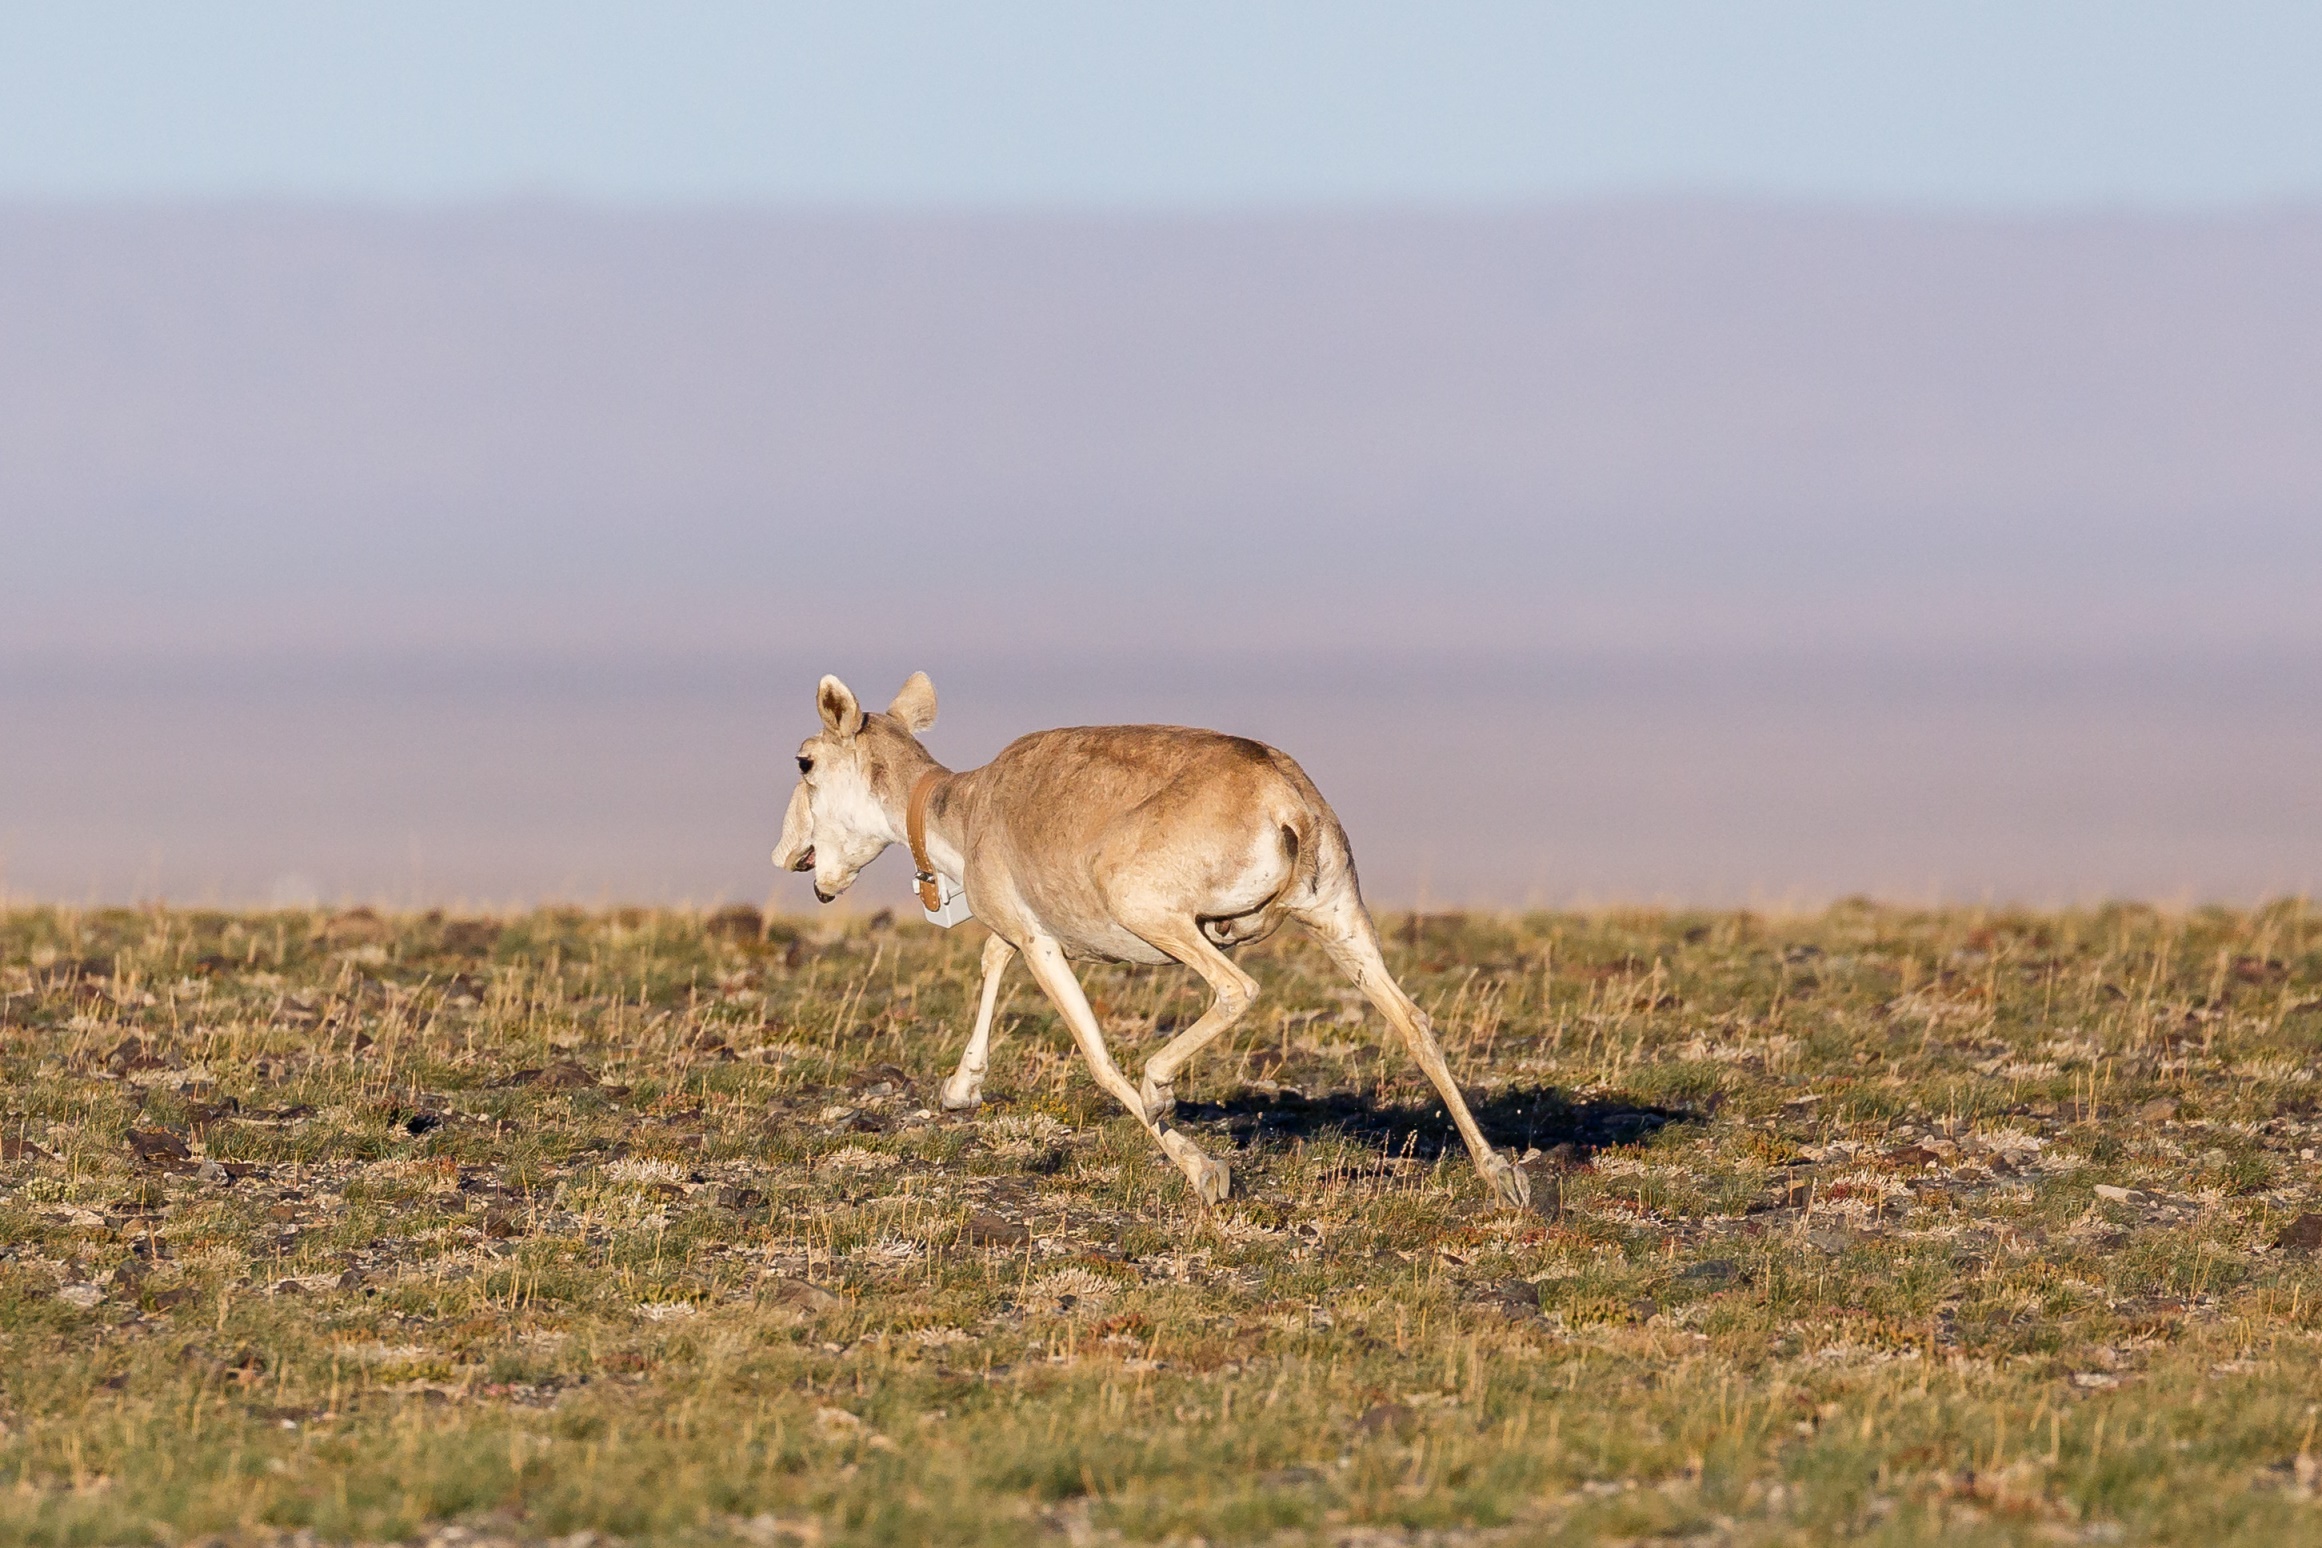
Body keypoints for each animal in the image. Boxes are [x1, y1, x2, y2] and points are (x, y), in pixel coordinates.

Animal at [780, 673, 1532, 1216]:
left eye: (805, 760)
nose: (788, 856)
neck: (965, 806)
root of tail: (1286, 800)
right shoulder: (1030, 933)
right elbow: (993, 958)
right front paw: (960, 1089)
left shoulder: (1040, 941)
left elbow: (1098, 1057)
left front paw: (1204, 1170)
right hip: (1340, 919)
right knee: (1415, 1023)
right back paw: (1504, 1178)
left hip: (1162, 916)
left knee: (1236, 990)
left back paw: (1163, 1090)